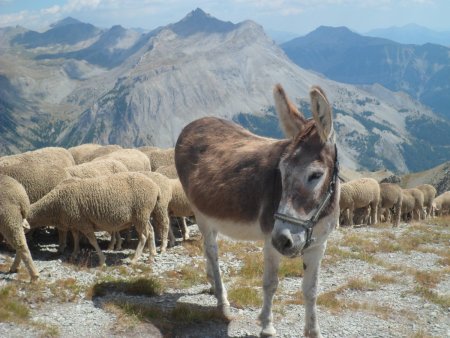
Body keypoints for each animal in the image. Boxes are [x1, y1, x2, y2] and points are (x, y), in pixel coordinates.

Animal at [27, 173, 161, 266]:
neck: (54, 205)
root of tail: (155, 187)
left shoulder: (84, 223)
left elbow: (93, 241)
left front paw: (102, 260)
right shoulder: (75, 223)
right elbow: (76, 238)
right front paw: (74, 254)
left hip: (141, 213)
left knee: (144, 235)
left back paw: (134, 259)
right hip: (143, 215)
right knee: (151, 230)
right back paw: (152, 255)